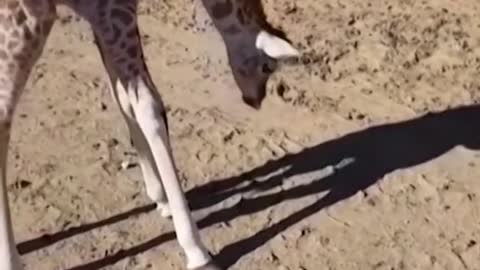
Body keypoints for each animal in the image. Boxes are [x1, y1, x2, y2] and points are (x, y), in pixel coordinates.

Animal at [0, 0, 298, 270]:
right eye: (268, 67)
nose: (255, 100)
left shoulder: (99, 18)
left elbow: (122, 98)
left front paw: (160, 197)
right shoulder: (114, 10)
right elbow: (148, 106)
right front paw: (195, 250)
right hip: (24, 22)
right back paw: (11, 261)